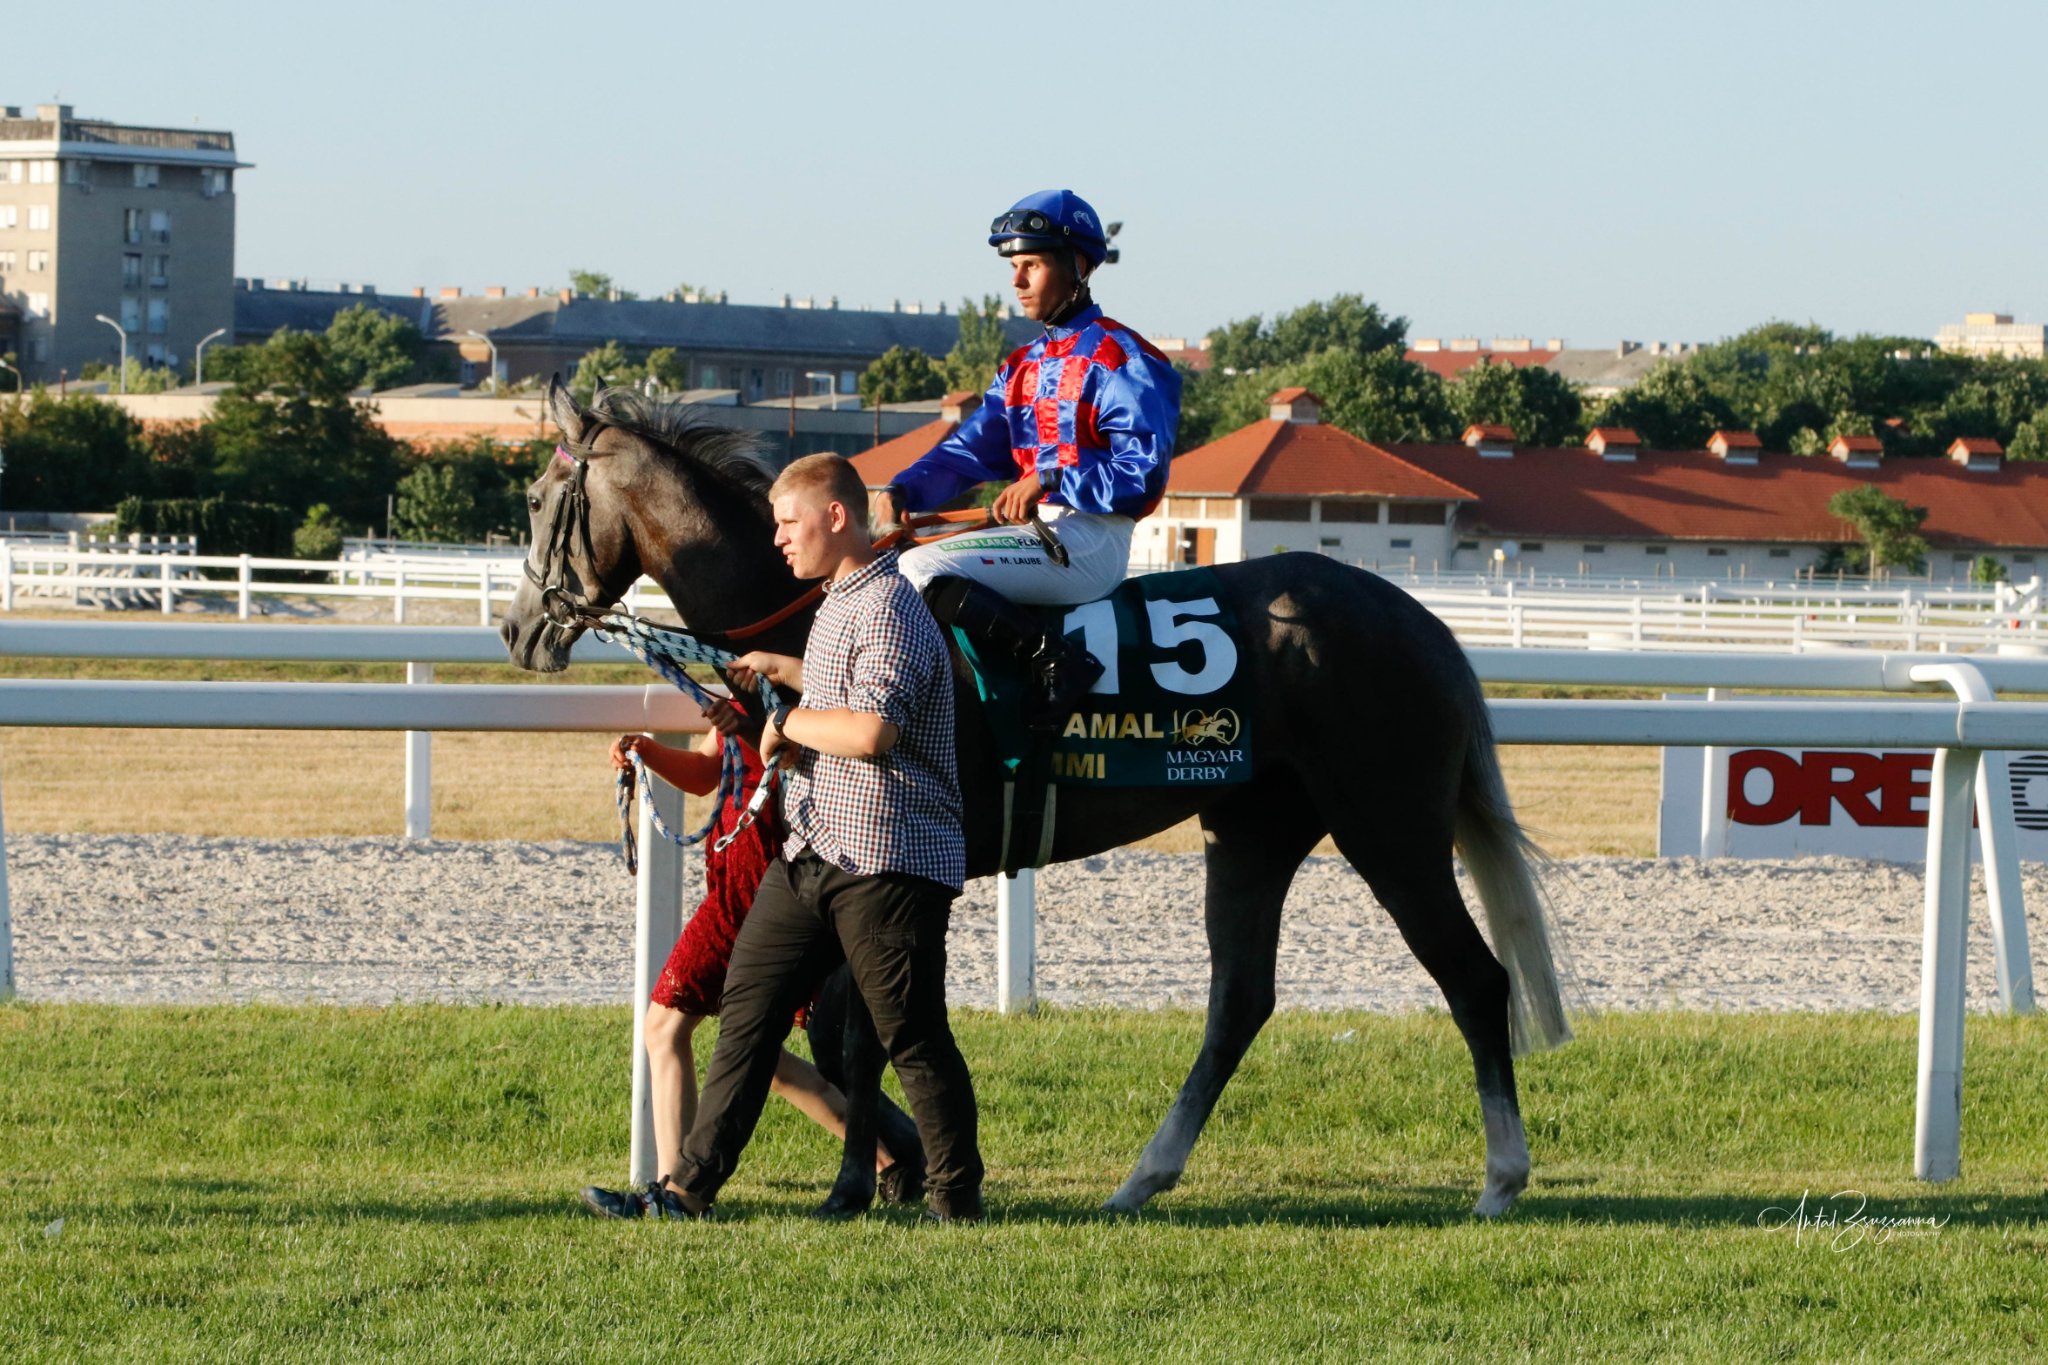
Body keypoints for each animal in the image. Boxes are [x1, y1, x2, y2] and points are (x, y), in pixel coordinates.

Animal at [499, 378, 1564, 1219]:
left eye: (540, 496)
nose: (516, 628)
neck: (812, 610)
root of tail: (1421, 620)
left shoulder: (889, 855)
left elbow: (862, 1031)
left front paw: (864, 1181)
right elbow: (845, 1031)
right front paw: (885, 1170)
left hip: (1389, 825)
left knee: (1475, 980)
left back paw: (1501, 1177)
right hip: (1253, 828)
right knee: (1239, 1001)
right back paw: (1142, 1177)